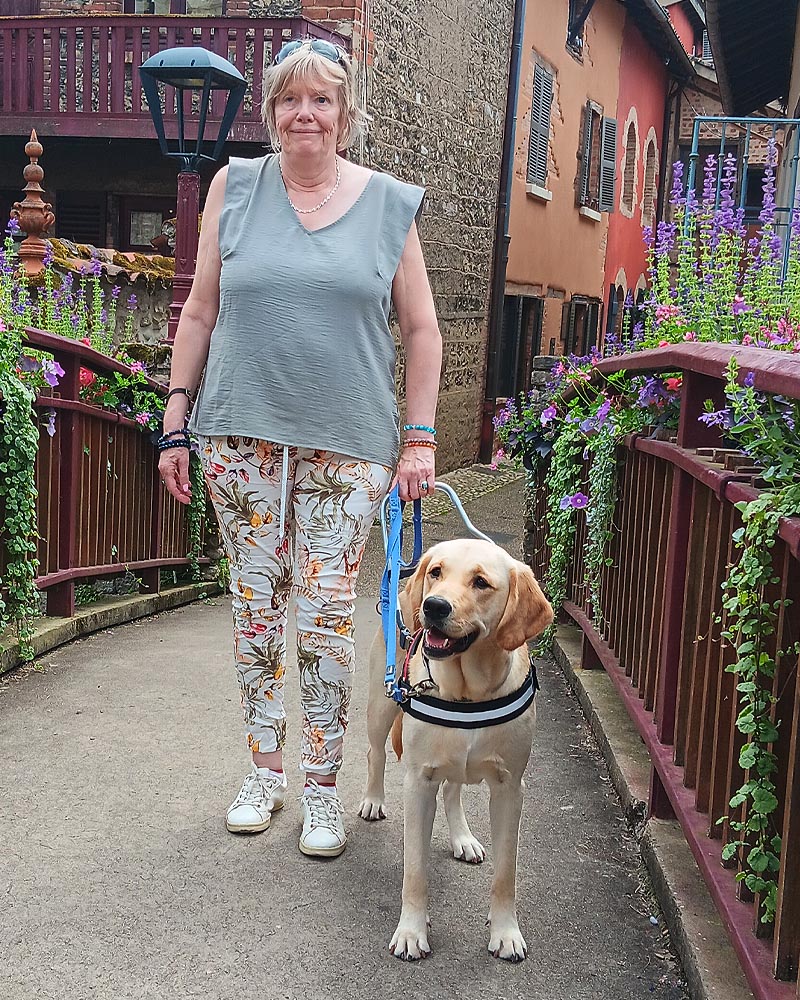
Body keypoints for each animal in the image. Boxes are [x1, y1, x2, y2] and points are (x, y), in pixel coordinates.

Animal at [360, 540, 552, 960]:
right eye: (437, 572)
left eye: (481, 582)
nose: (433, 606)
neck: (468, 693)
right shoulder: (418, 783)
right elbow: (415, 872)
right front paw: (411, 931)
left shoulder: (510, 789)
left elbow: (506, 874)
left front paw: (506, 932)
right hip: (380, 705)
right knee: (375, 753)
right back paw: (373, 800)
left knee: (453, 789)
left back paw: (462, 838)